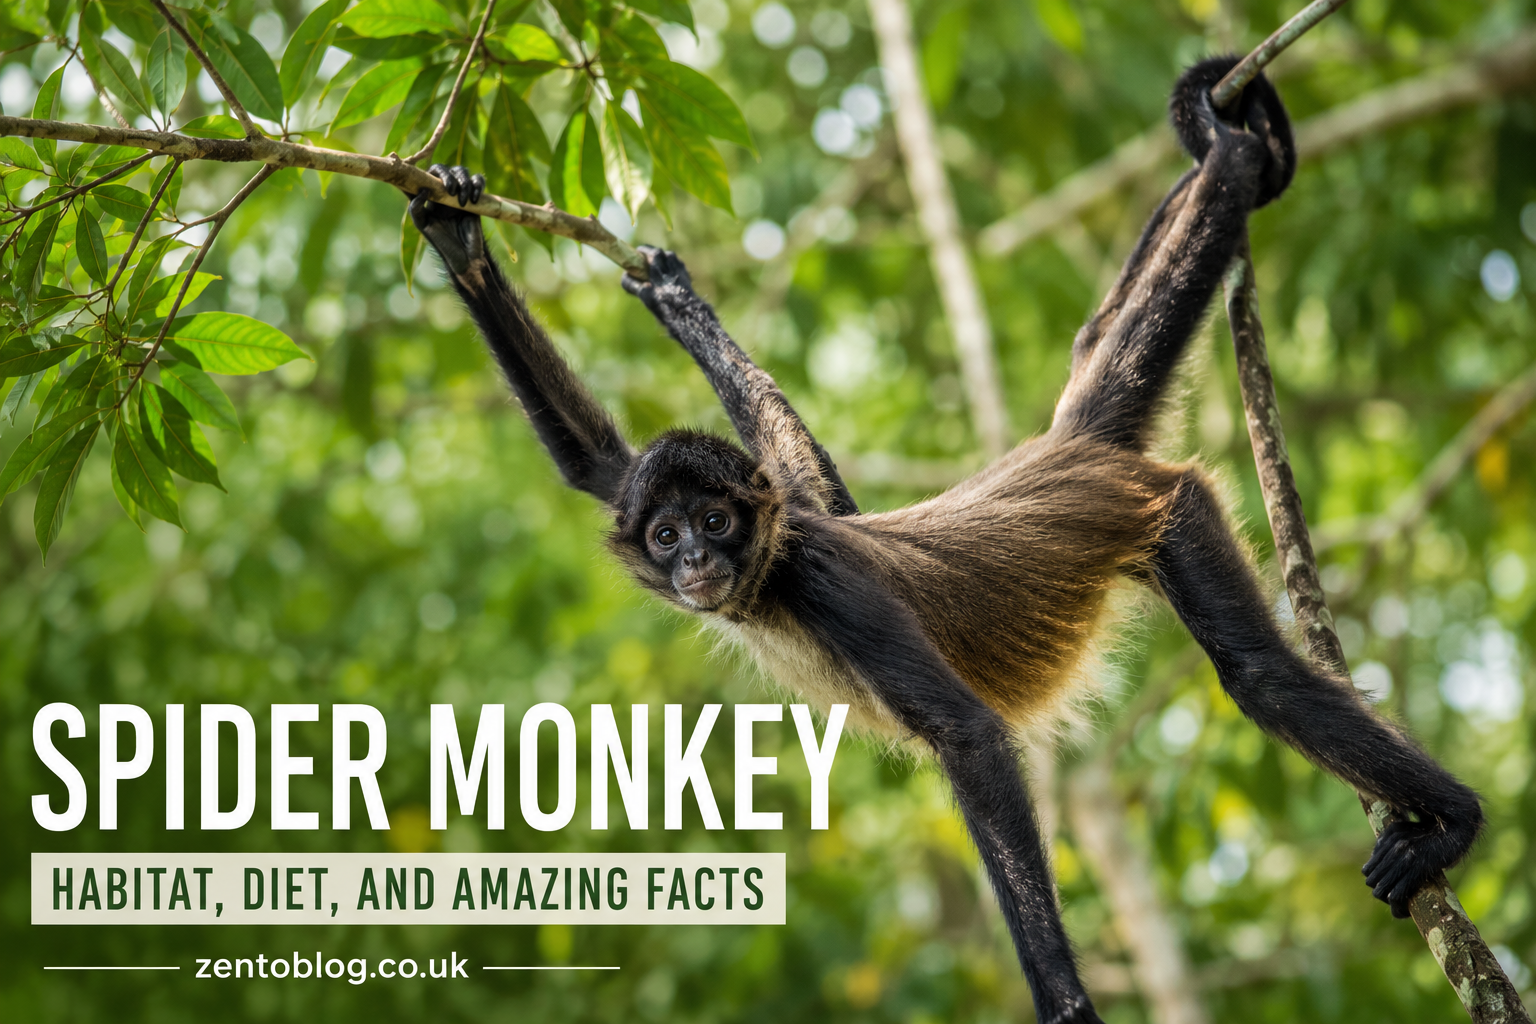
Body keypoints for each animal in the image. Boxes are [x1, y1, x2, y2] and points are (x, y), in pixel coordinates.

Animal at [409, 57, 1483, 1024]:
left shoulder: (824, 576)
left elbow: (968, 734)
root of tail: (1068, 453)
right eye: (666, 533)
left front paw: (1068, 1007)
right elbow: (607, 463)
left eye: (714, 524)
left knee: (1257, 676)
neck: (767, 579)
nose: (697, 564)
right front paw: (476, 245)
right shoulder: (769, 512)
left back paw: (1455, 822)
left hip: (1173, 513)